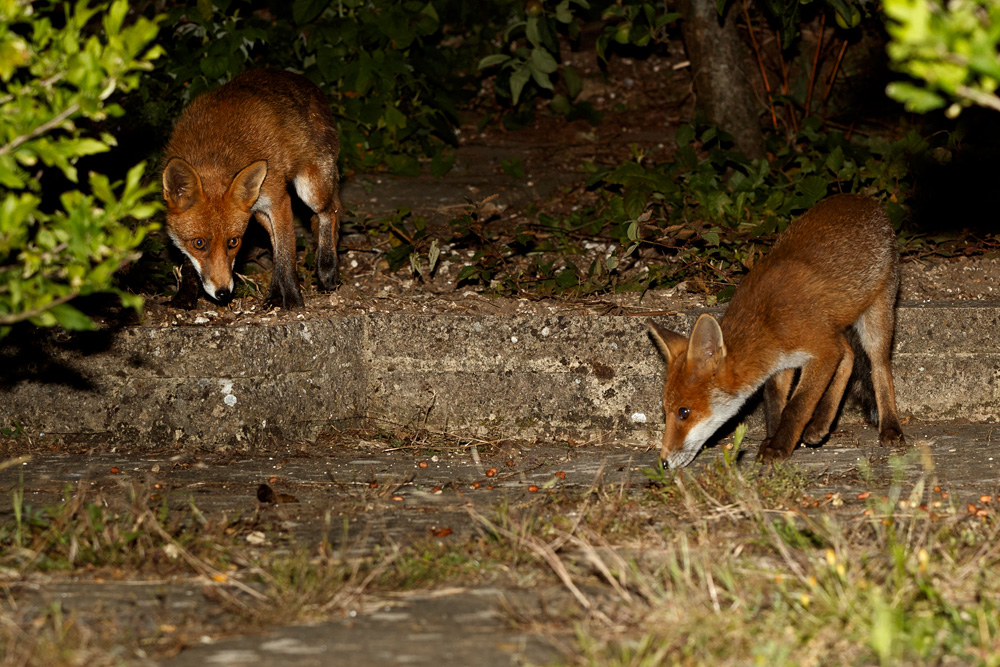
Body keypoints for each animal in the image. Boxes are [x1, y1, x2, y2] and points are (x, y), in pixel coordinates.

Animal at [161, 69, 342, 309]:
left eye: (233, 242)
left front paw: (293, 299)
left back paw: (326, 269)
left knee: (329, 212)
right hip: (258, 213)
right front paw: (184, 297)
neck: (213, 159)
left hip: (310, 188)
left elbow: (287, 254)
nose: (223, 293)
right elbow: (189, 262)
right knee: (275, 243)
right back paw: (275, 294)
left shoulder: (279, 200)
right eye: (198, 243)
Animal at [648, 194, 905, 468]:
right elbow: (773, 402)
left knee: (879, 367)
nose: (663, 463)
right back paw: (820, 424)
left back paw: (890, 428)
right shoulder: (783, 361)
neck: (766, 321)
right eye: (665, 412)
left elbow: (796, 406)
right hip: (835, 328)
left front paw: (779, 448)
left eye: (684, 412)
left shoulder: (822, 351)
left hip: (875, 319)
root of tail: (861, 198)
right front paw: (772, 439)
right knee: (849, 355)